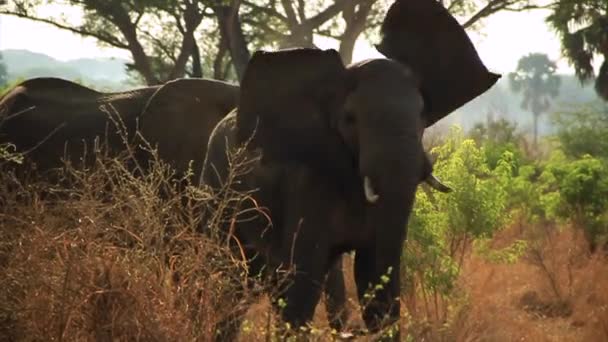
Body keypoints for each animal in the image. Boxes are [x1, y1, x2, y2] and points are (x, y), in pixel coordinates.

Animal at [200, 0, 498, 340]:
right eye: (350, 119)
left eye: (423, 114)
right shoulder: (308, 178)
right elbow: (304, 278)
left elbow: (376, 271)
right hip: (217, 193)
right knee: (232, 278)